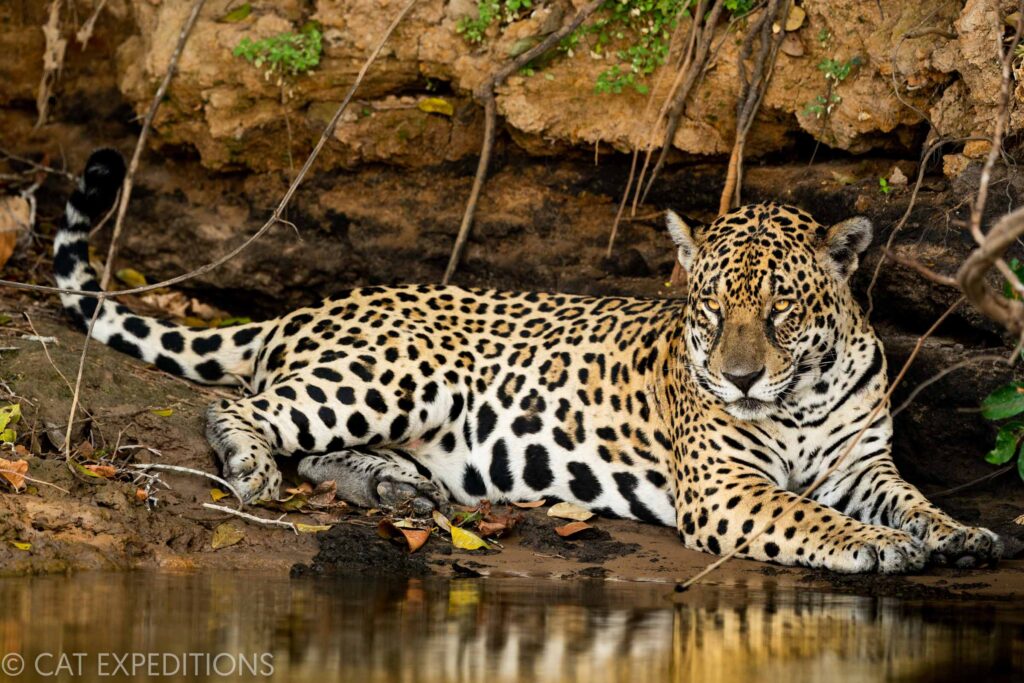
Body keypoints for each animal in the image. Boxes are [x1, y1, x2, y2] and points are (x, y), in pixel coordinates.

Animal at [52, 149, 1002, 573]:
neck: (800, 396)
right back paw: (254, 467)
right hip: (401, 371)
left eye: (779, 312)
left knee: (315, 446)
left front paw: (960, 532)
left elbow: (912, 498)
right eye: (710, 310)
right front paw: (879, 545)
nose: (738, 378)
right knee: (244, 409)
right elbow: (809, 515)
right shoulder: (728, 488)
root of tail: (302, 306)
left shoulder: (862, 463)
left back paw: (399, 488)